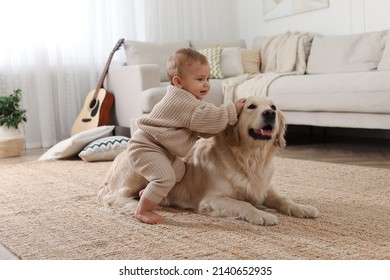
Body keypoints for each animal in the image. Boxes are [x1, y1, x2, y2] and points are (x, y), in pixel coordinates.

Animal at [96, 96, 318, 225]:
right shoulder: (211, 199)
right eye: (251, 106)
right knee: (114, 198)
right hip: (139, 169)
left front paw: (302, 208)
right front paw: (262, 214)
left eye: (273, 106)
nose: (270, 113)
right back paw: (137, 206)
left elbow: (283, 199)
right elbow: (243, 204)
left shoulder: (263, 187)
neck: (250, 158)